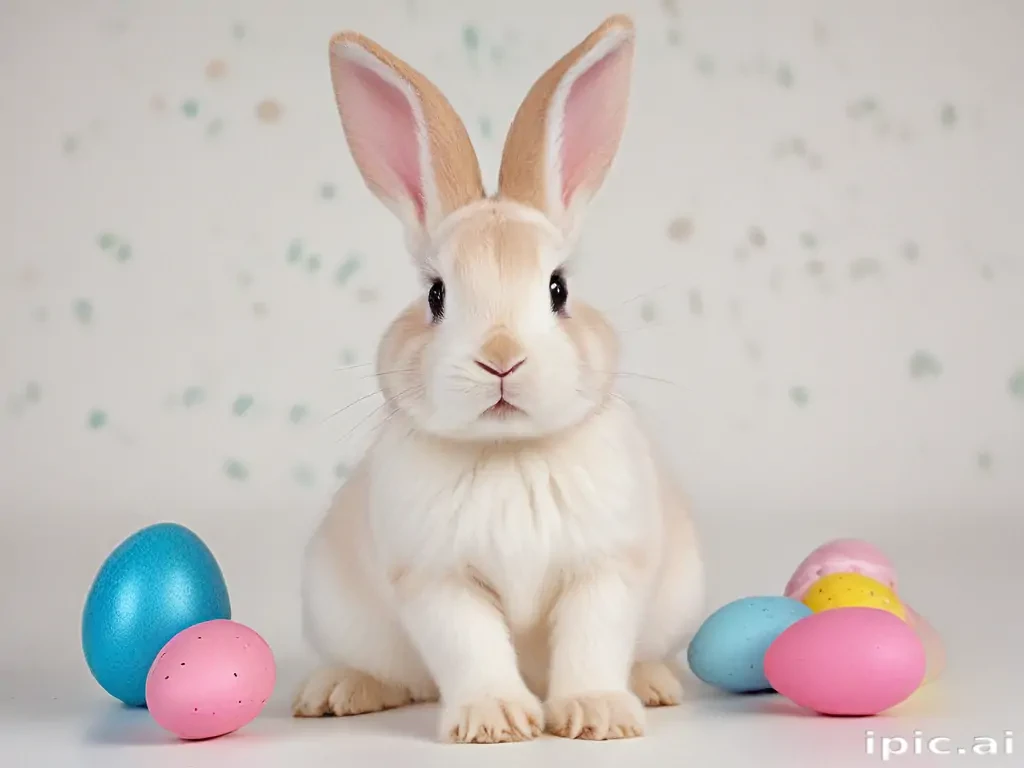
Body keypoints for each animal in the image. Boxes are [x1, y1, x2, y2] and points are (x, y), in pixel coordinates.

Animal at [293, 14, 705, 743]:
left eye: (558, 288)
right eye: (435, 296)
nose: (501, 358)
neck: (509, 452)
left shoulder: (604, 571)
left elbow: (592, 643)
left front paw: (597, 716)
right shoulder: (437, 582)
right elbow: (471, 648)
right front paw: (494, 721)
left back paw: (653, 685)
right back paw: (339, 692)